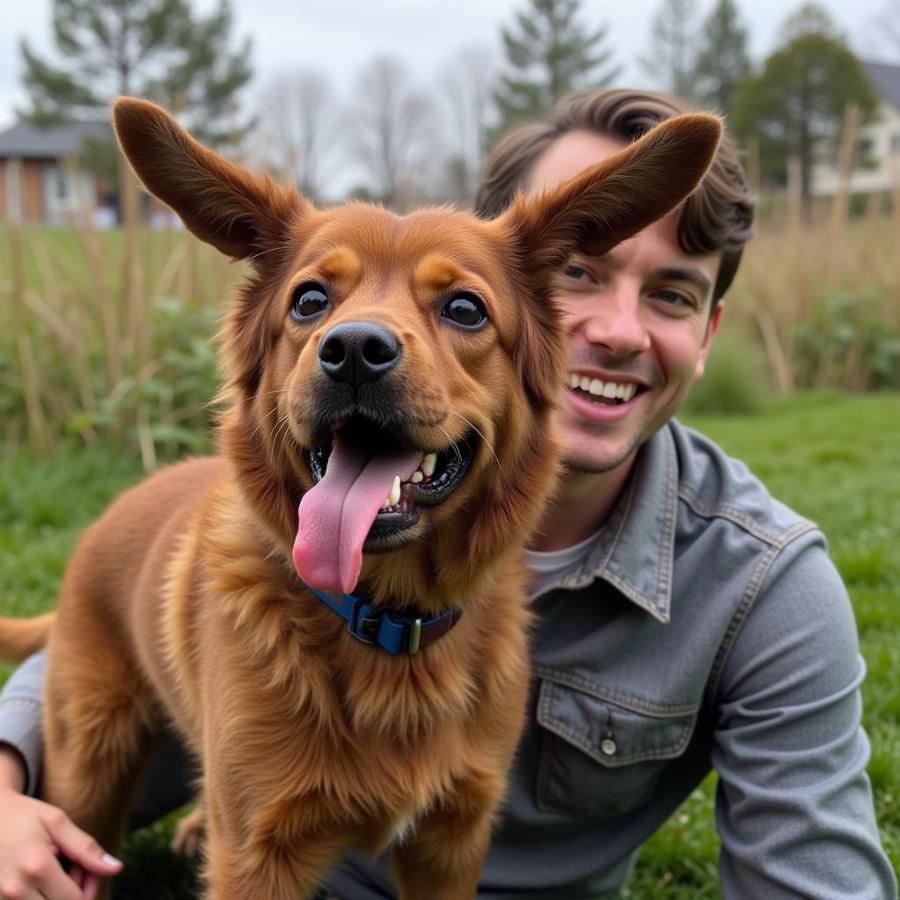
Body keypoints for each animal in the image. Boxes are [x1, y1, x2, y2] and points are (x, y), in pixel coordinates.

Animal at [0, 102, 720, 896]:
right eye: (310, 300)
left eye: (465, 309)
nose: (351, 351)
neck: (386, 621)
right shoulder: (255, 856)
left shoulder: (451, 844)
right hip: (90, 774)